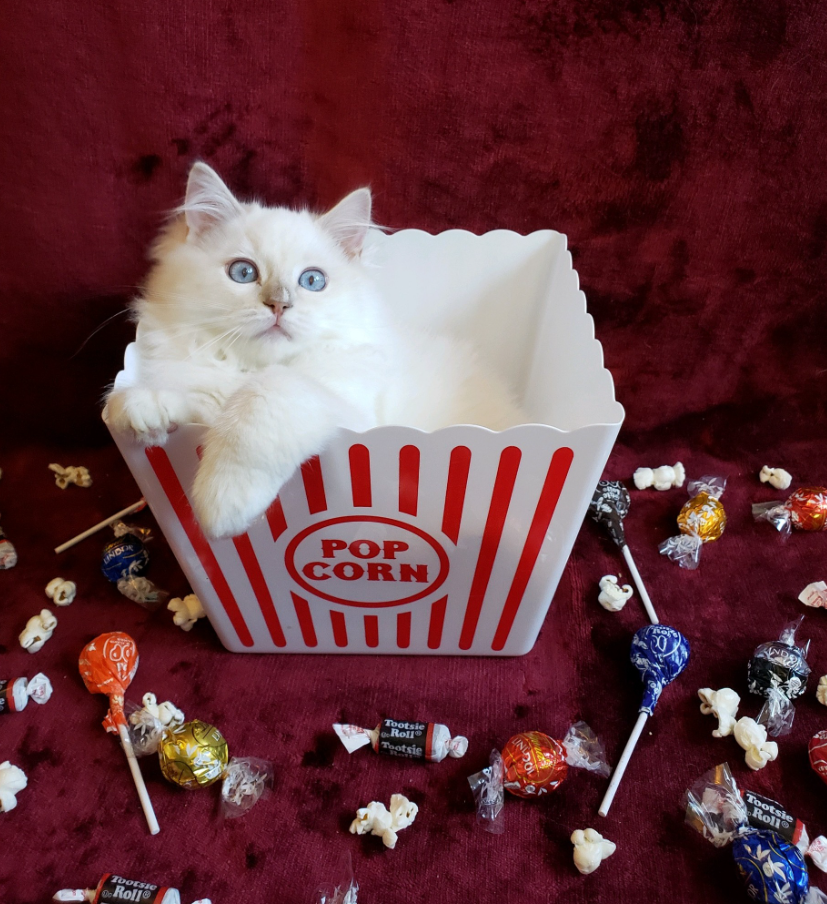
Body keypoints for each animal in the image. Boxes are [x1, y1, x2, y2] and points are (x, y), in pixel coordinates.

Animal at [106, 164, 524, 536]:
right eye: (243, 273)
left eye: (312, 281)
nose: (279, 304)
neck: (249, 370)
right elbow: (190, 399)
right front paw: (142, 408)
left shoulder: (349, 413)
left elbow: (268, 393)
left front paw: (222, 503)